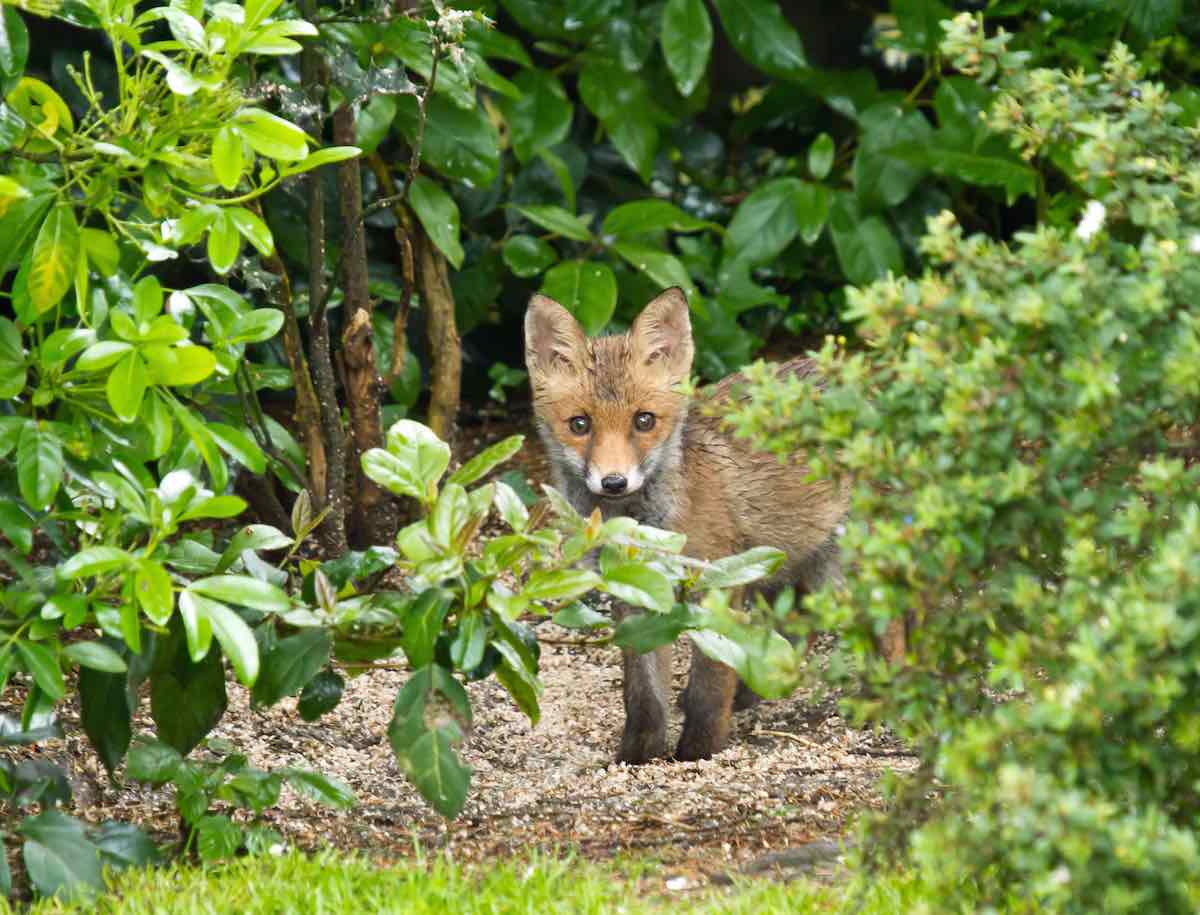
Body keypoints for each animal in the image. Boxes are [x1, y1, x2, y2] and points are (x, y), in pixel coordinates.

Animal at [520, 288, 849, 758]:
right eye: (579, 424)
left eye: (644, 420)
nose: (614, 482)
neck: (646, 525)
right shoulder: (635, 591)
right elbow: (642, 691)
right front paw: (639, 755)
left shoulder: (717, 583)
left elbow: (710, 684)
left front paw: (699, 750)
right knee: (798, 626)